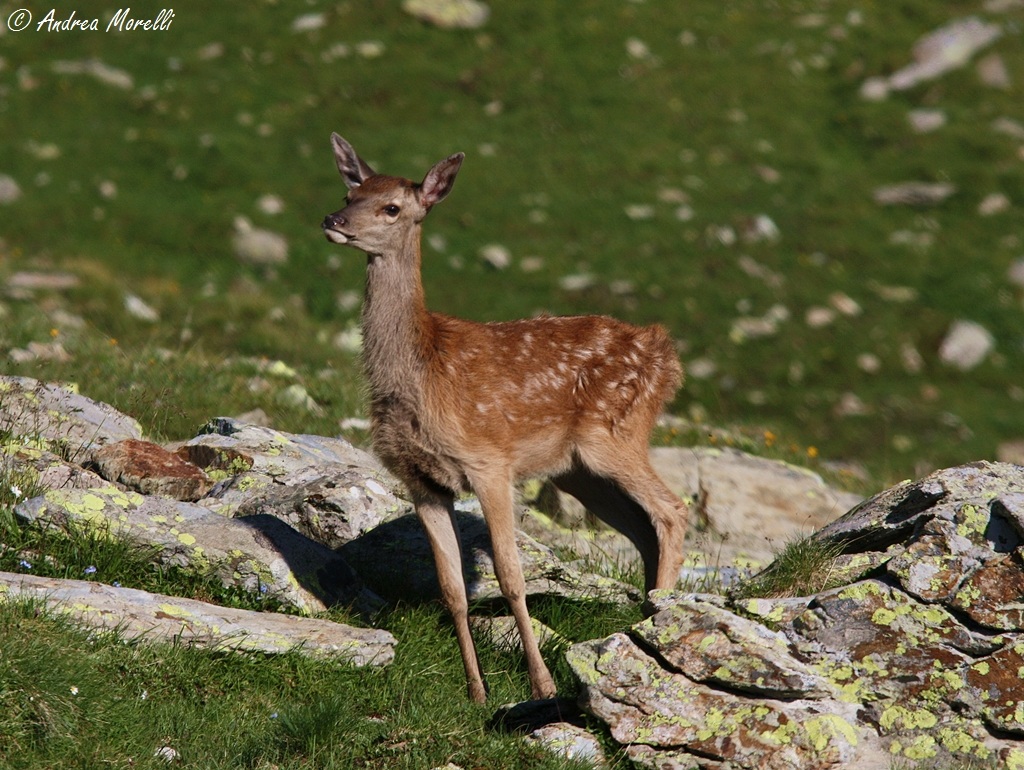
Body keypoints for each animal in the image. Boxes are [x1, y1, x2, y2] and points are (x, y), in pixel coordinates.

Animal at [322, 133, 690, 703]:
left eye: (392, 207)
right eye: (350, 192)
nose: (333, 220)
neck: (423, 375)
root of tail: (665, 354)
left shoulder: (489, 460)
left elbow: (512, 578)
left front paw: (541, 684)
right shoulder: (421, 480)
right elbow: (451, 589)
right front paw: (476, 692)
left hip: (616, 432)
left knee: (671, 512)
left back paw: (656, 619)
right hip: (578, 470)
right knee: (643, 528)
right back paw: (637, 619)